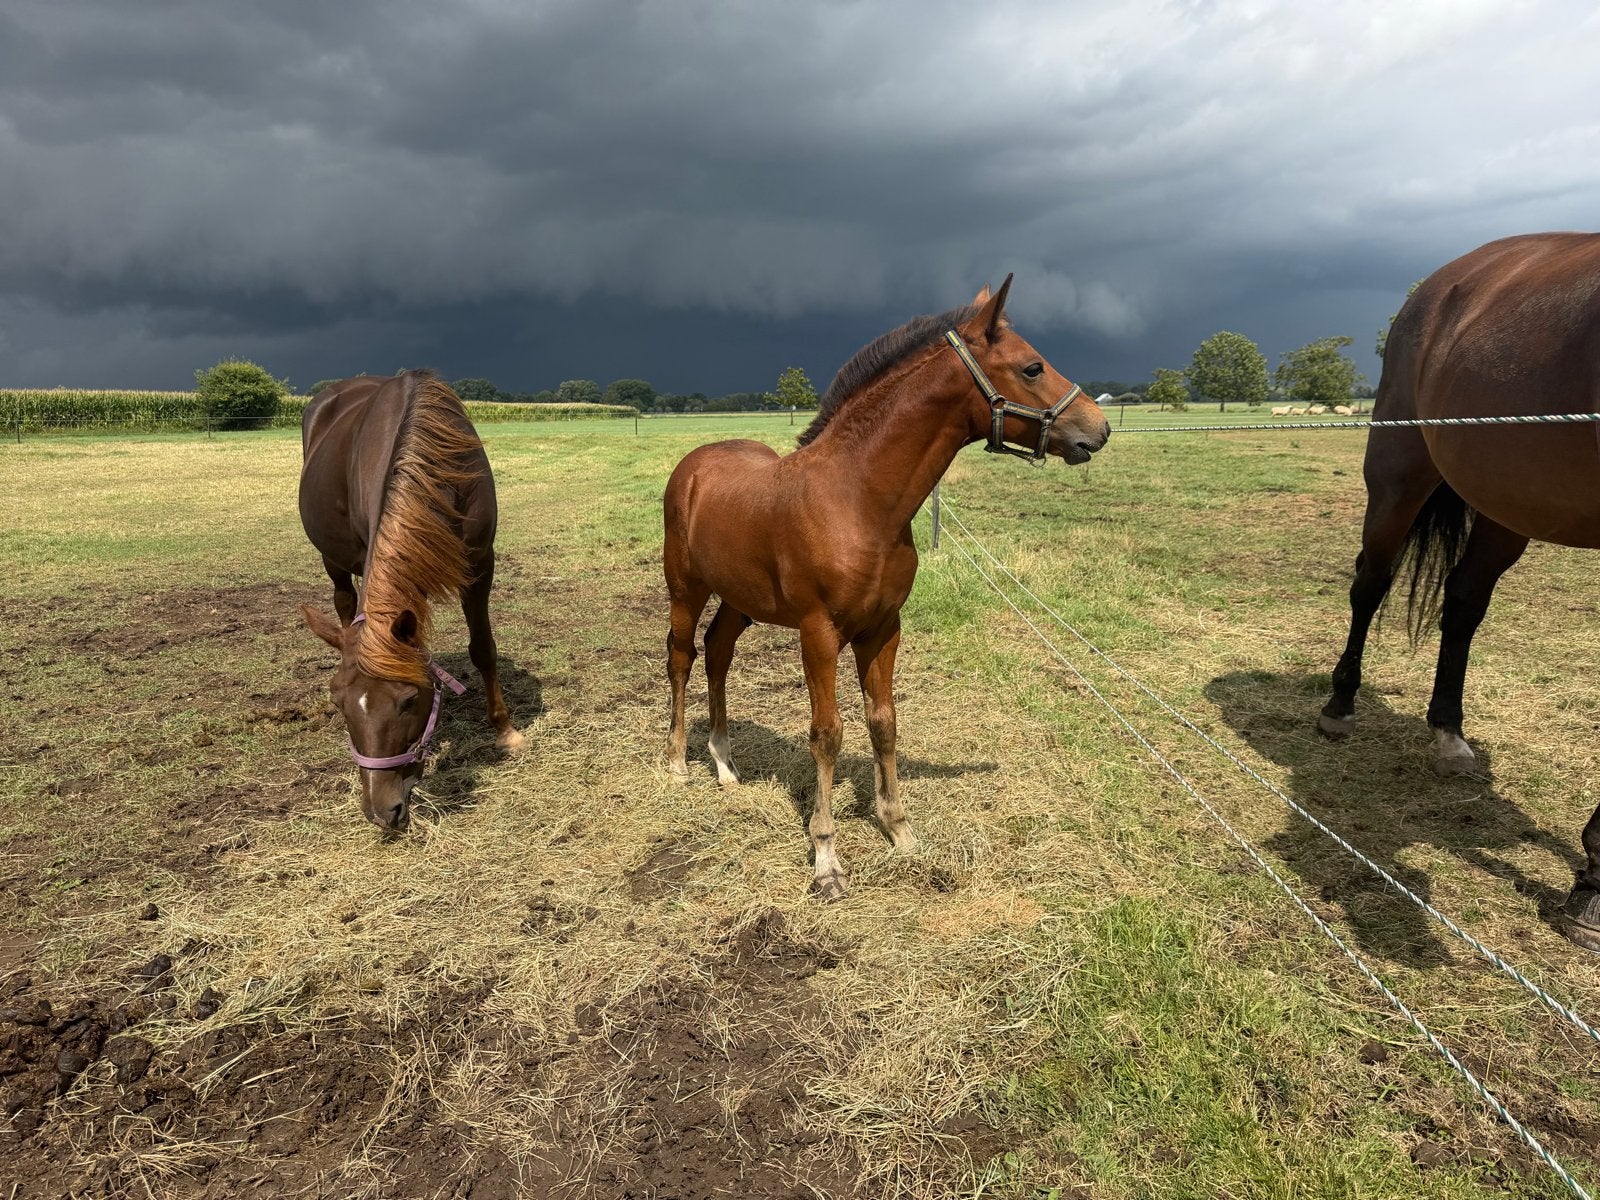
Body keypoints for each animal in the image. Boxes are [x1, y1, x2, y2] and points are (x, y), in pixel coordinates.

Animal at [298, 369, 523, 830]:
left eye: (409, 700)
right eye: (338, 703)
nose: (382, 811)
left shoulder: (480, 563)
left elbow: (483, 648)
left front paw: (506, 731)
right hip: (333, 559)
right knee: (345, 603)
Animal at [662, 276, 1111, 900]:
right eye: (1031, 366)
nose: (1099, 429)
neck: (856, 501)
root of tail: (694, 464)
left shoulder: (882, 628)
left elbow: (884, 722)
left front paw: (900, 830)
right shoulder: (818, 633)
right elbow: (827, 733)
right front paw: (826, 859)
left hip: (738, 600)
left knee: (718, 652)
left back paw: (726, 767)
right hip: (685, 588)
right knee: (682, 656)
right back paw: (679, 764)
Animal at [1317, 232, 1600, 951]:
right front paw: (1592, 889)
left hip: (1505, 503)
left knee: (1465, 598)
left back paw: (1448, 730)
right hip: (1398, 473)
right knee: (1371, 584)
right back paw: (1339, 705)